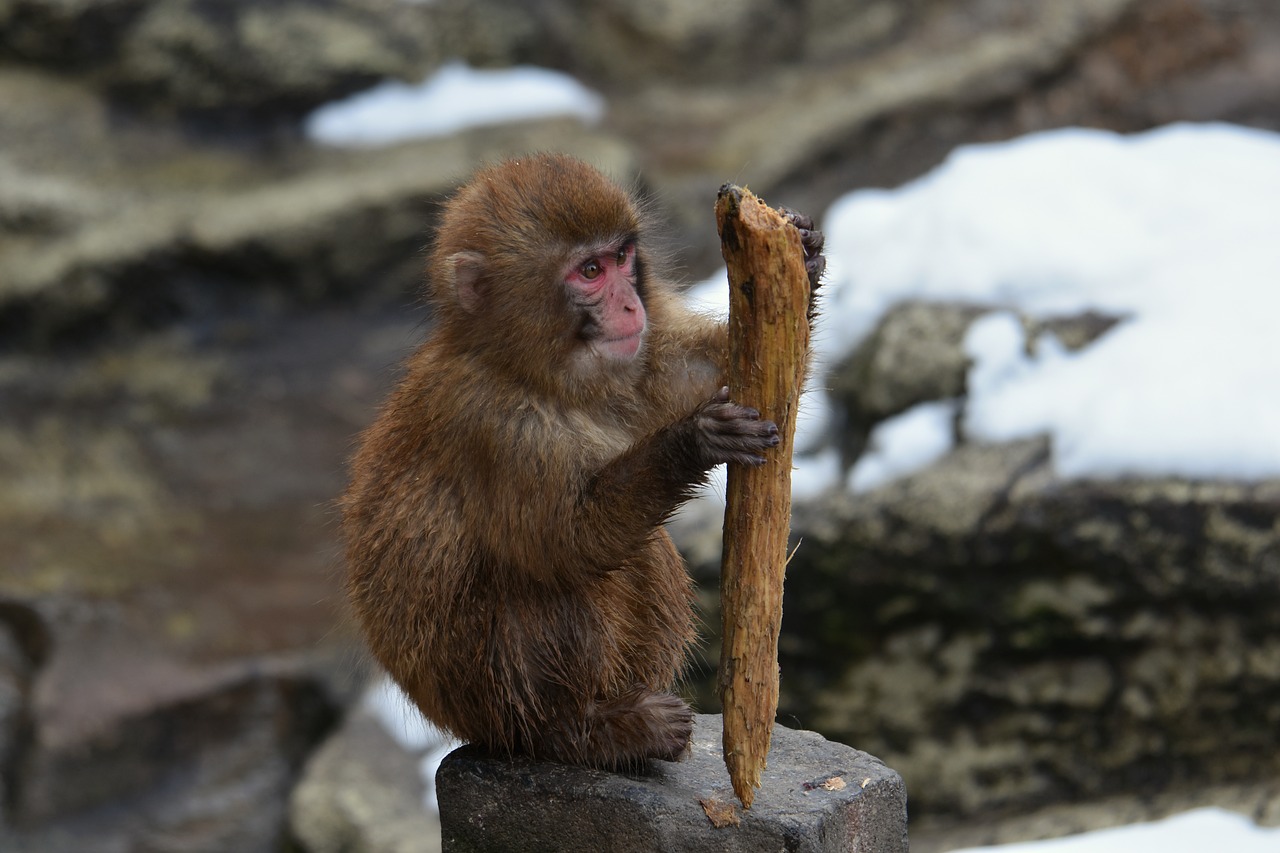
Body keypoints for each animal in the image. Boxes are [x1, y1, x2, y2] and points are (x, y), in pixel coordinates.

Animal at [340, 154, 824, 768]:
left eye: (621, 259)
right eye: (589, 272)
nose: (629, 304)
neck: (535, 373)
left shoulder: (641, 353)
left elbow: (717, 367)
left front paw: (805, 253)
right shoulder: (493, 424)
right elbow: (564, 543)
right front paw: (691, 440)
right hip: (486, 700)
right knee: (551, 582)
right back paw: (582, 732)